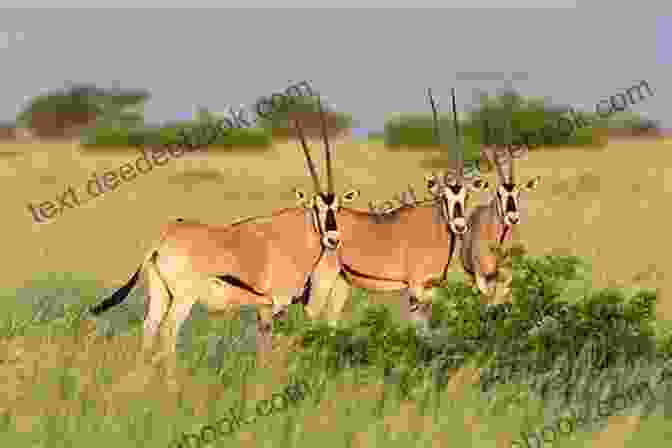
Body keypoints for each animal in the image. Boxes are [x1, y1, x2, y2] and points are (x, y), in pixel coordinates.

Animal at [91, 103, 360, 358]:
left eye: (337, 207)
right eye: (315, 206)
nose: (332, 239)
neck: (291, 236)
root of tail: (163, 240)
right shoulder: (272, 305)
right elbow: (267, 346)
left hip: (160, 293)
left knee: (150, 328)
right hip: (184, 298)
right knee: (168, 331)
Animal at [304, 88, 488, 332]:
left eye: (465, 196)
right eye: (444, 197)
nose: (459, 226)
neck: (434, 226)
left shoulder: (431, 286)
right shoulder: (416, 287)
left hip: (341, 282)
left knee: (331, 319)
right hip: (322, 280)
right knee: (310, 315)